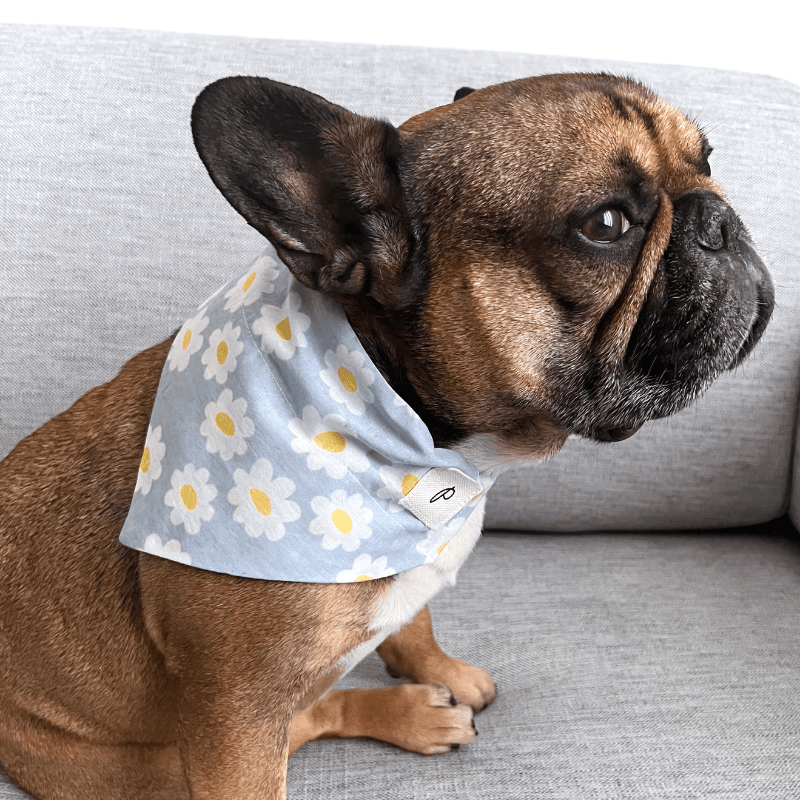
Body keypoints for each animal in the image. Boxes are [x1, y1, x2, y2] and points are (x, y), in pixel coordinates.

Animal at [0, 72, 776, 796]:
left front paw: (438, 669)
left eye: (707, 160)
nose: (720, 215)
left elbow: (415, 622)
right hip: (141, 766)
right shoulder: (234, 719)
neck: (423, 446)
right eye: (608, 224)